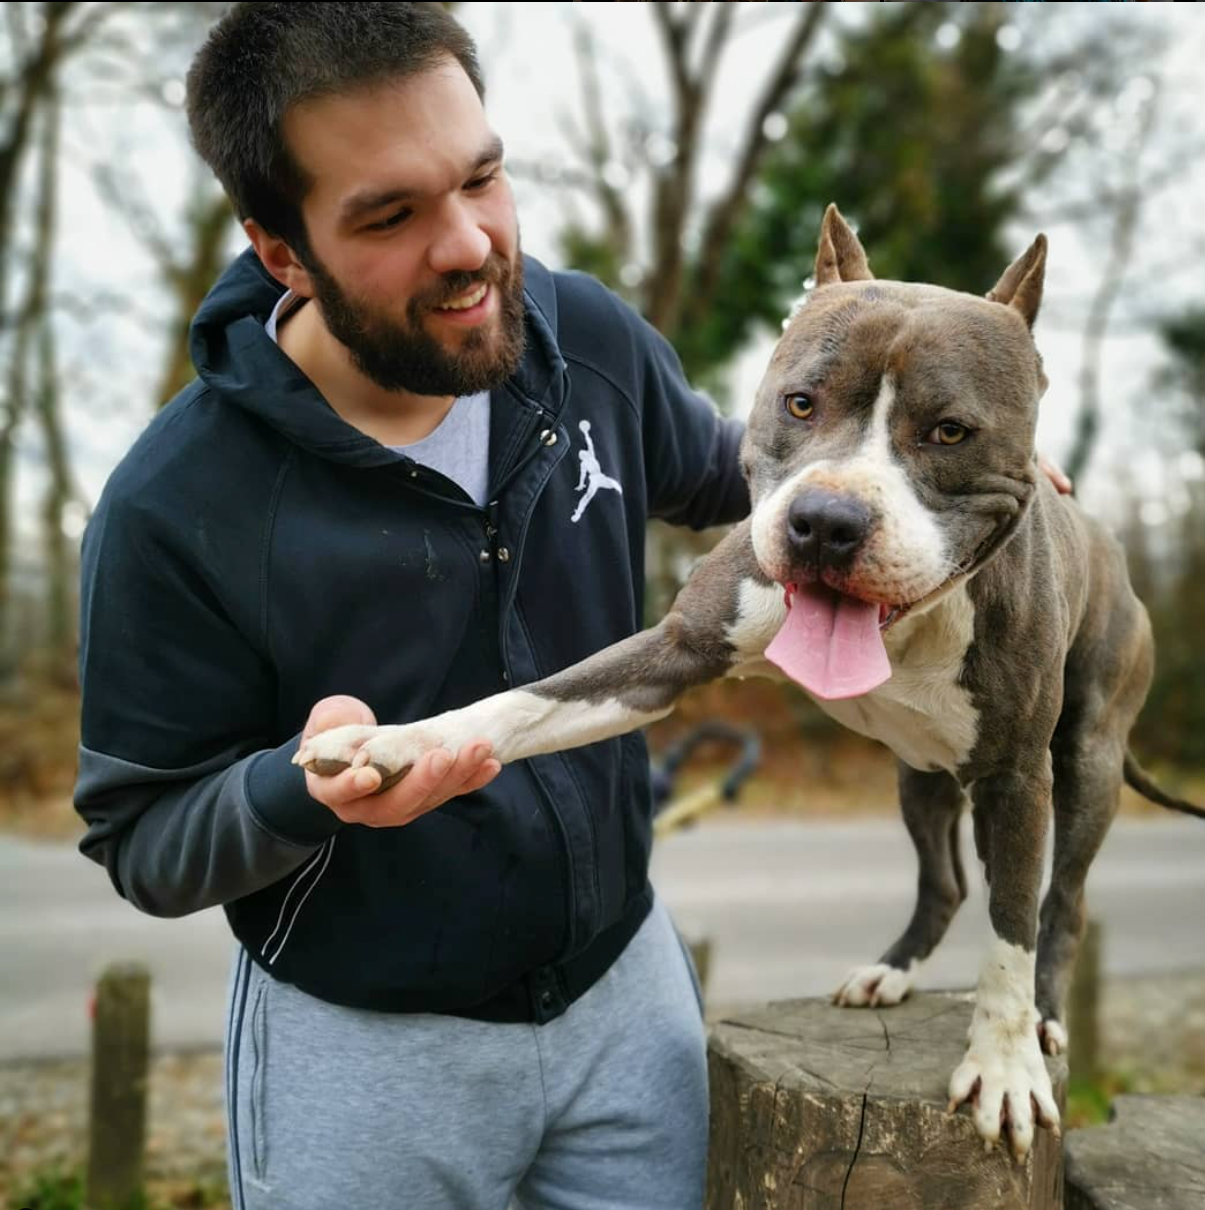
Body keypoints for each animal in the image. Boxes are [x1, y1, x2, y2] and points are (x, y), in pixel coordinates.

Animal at [293, 205, 1205, 1161]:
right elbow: (523, 703)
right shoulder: (671, 652)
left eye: (949, 431)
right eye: (799, 402)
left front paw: (1001, 1064)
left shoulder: (1016, 776)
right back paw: (889, 973)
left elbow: (1011, 930)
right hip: (918, 775)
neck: (906, 626)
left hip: (1085, 761)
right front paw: (394, 745)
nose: (826, 522)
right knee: (947, 881)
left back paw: (1045, 1020)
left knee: (1058, 901)